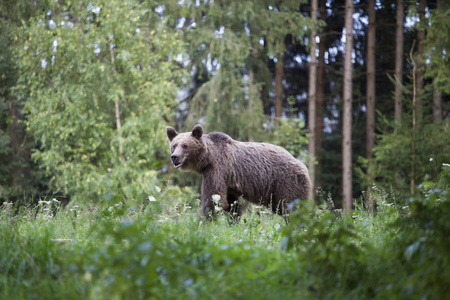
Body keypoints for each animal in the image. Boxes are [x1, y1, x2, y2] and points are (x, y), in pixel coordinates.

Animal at [167, 123, 312, 219]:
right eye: (174, 145)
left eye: (185, 145)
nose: (174, 157)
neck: (208, 159)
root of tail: (303, 165)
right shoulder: (229, 184)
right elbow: (232, 205)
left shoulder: (217, 170)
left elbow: (213, 198)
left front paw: (205, 220)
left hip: (286, 182)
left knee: (293, 206)